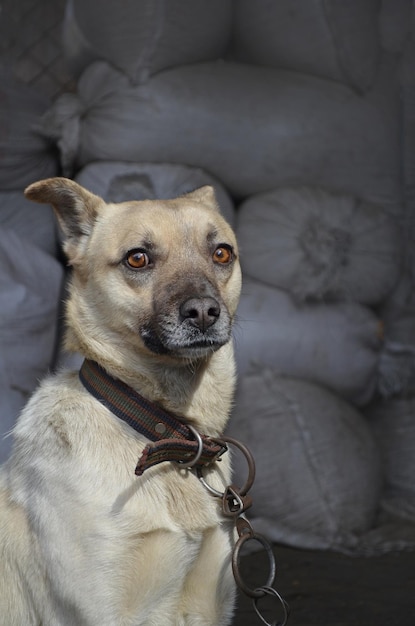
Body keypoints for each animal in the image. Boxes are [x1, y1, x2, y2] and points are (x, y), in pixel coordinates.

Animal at [0, 177, 242, 624]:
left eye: (221, 253)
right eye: (137, 258)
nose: (204, 312)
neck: (166, 435)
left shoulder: (209, 606)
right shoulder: (99, 610)